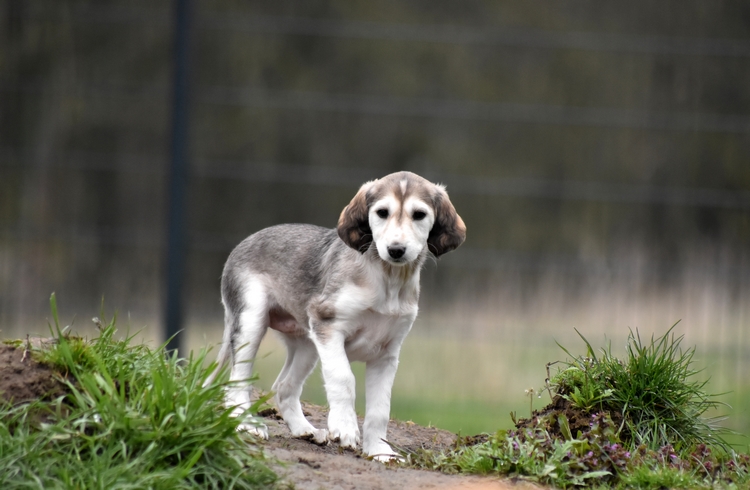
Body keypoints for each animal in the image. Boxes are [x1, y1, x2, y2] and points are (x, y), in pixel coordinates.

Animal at [210, 171, 464, 460]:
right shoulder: (329, 326)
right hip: (251, 322)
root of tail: (243, 243)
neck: (386, 280)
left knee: (283, 387)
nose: (396, 250)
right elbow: (343, 379)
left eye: (419, 214)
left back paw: (305, 430)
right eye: (382, 212)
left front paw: (379, 451)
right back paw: (247, 425)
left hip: (307, 345)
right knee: (236, 382)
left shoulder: (386, 354)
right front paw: (344, 428)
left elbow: (380, 409)